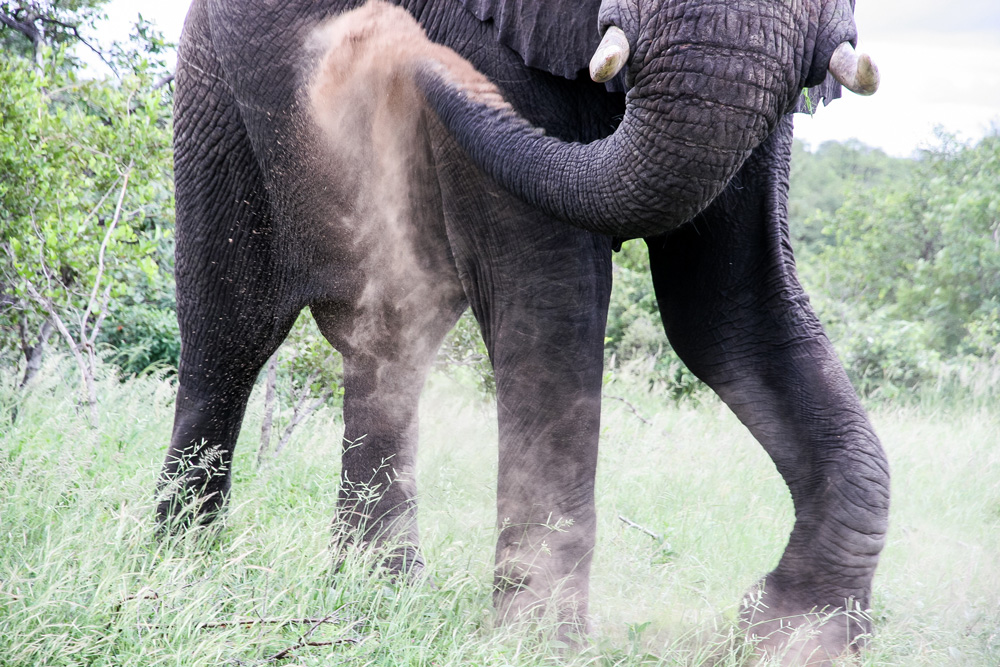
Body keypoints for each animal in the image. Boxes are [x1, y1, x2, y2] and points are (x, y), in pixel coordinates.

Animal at [162, 0, 892, 664]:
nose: (382, 33)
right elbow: (552, 292)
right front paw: (540, 645)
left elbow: (730, 309)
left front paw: (795, 636)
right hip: (210, 86)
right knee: (231, 327)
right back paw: (185, 564)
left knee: (389, 339)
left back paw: (377, 594)